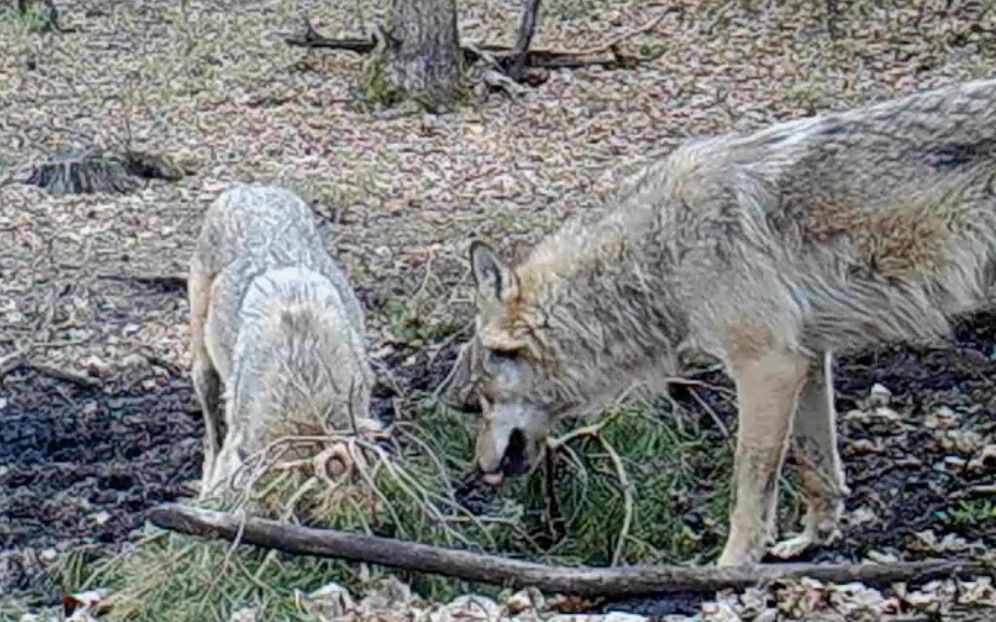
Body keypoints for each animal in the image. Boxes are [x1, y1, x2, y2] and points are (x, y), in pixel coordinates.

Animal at [444, 79, 996, 572]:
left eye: (478, 402)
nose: (476, 466)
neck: (660, 252)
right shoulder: (809, 358)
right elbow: (816, 467)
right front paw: (812, 540)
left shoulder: (768, 366)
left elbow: (748, 486)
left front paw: (730, 568)